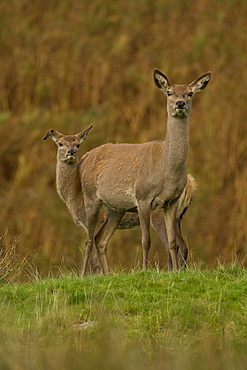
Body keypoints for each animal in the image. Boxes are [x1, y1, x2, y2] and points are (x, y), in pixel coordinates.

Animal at [42, 125, 197, 274]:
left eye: (78, 144)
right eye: (60, 143)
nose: (71, 152)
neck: (74, 195)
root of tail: (190, 184)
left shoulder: (97, 221)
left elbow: (94, 257)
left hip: (157, 216)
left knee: (174, 246)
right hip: (177, 217)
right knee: (183, 246)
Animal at [78, 69, 210, 274]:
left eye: (190, 93)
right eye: (169, 92)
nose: (180, 103)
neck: (166, 170)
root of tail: (85, 158)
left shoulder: (172, 201)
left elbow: (173, 242)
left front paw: (175, 272)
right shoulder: (142, 197)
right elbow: (146, 240)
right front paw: (144, 270)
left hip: (116, 208)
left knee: (100, 239)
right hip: (91, 196)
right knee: (88, 239)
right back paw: (84, 275)